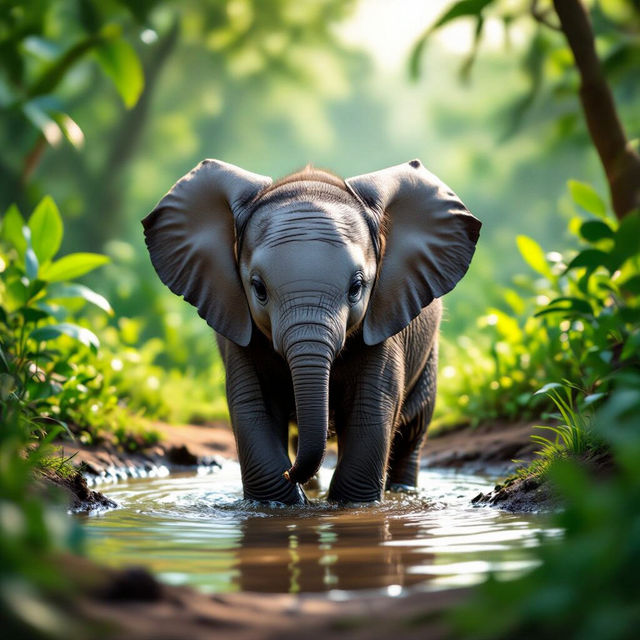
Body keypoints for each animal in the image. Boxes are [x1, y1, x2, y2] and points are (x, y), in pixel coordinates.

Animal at [143, 159, 481, 505]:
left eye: (356, 288)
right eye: (258, 289)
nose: (291, 472)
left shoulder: (386, 320)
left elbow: (370, 411)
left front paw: (348, 505)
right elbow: (254, 407)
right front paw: (281, 501)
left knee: (412, 433)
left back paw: (401, 490)